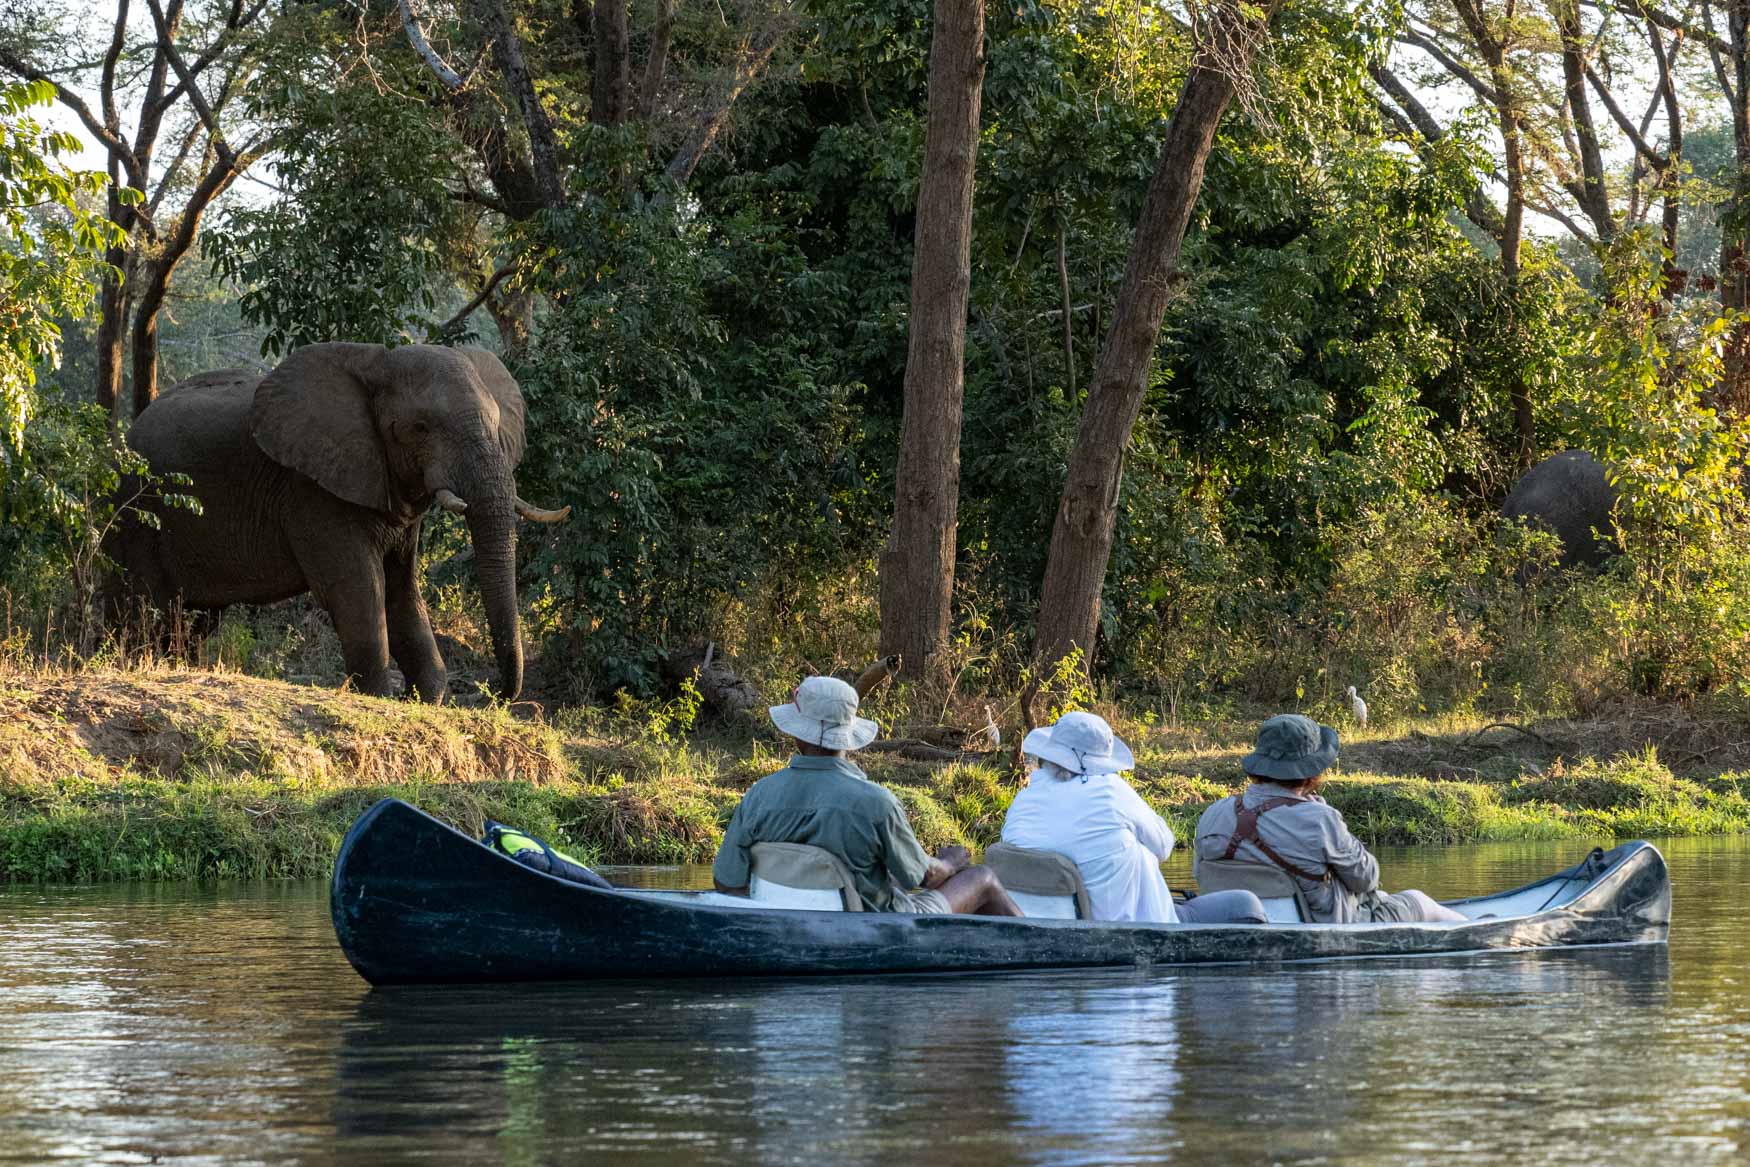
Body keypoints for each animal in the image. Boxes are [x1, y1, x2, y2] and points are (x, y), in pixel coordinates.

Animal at [105, 342, 570, 699]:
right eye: (419, 428)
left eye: (497, 423)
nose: (489, 695)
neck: (377, 363)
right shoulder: (311, 490)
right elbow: (357, 587)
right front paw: (381, 696)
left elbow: (402, 589)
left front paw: (425, 697)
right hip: (137, 514)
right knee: (145, 609)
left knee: (196, 618)